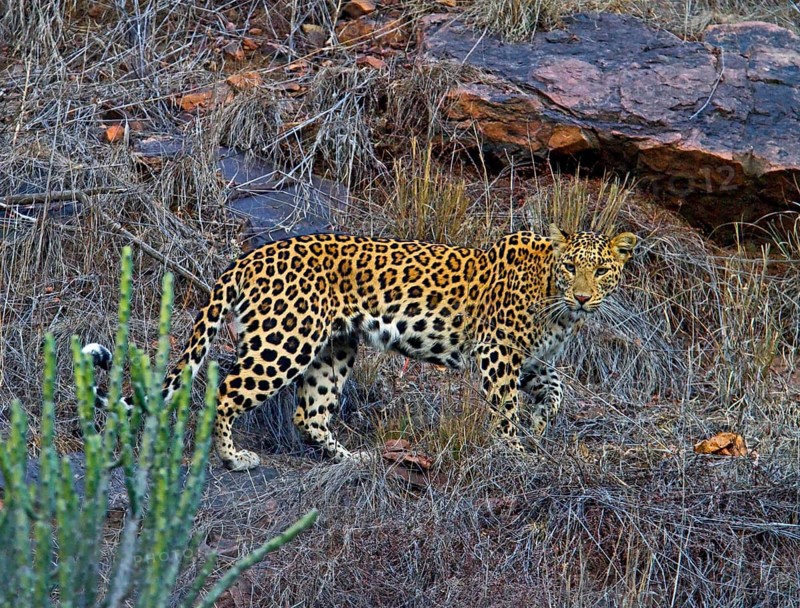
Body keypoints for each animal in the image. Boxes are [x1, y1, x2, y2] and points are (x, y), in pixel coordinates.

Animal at [84, 224, 637, 471]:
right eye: (572, 268)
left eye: (601, 271)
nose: (583, 295)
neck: (556, 303)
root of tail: (247, 259)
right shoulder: (497, 352)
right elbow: (504, 410)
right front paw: (517, 452)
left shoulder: (532, 360)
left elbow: (557, 388)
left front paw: (540, 425)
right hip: (285, 341)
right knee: (223, 390)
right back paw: (233, 457)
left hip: (334, 348)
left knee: (308, 413)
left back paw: (349, 458)